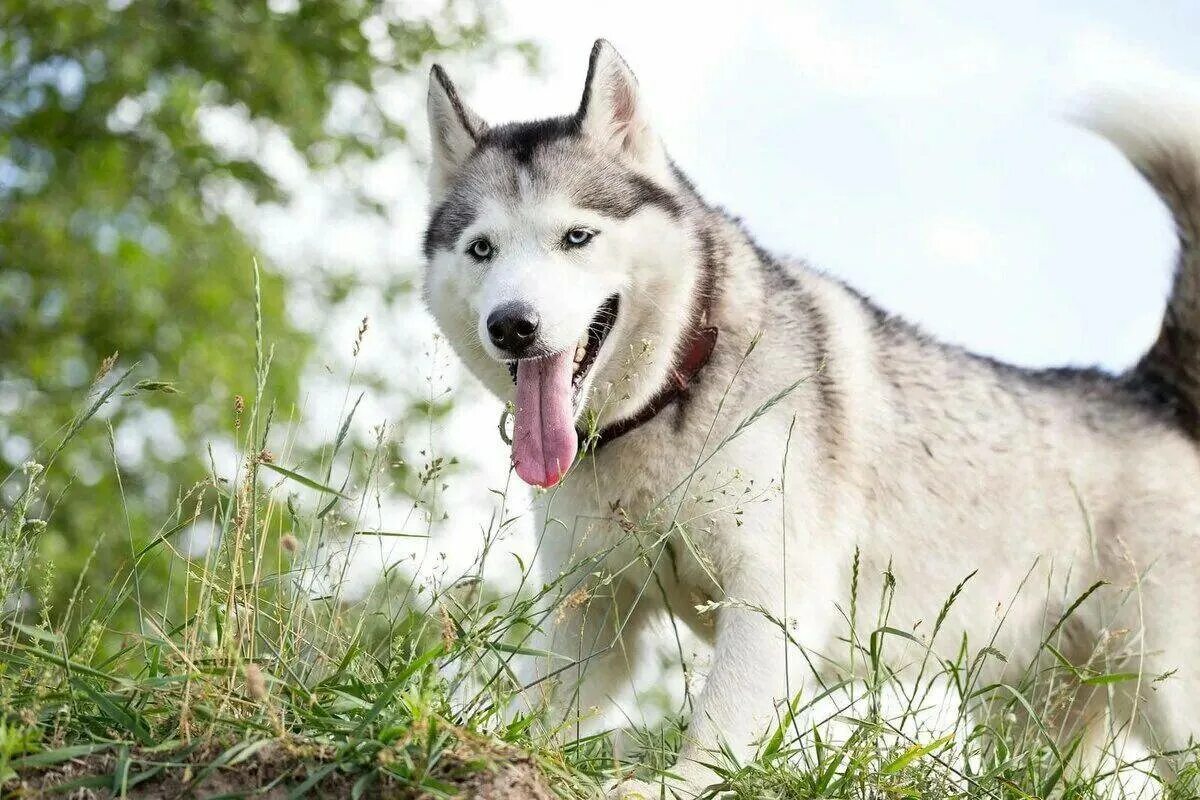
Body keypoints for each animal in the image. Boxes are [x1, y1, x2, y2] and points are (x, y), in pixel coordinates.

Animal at [422, 42, 1200, 800]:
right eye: (482, 249)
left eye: (577, 237)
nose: (512, 326)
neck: (675, 389)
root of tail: (1145, 394)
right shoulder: (592, 605)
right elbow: (541, 705)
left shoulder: (775, 591)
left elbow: (721, 716)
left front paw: (676, 783)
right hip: (1039, 708)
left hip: (1164, 691)